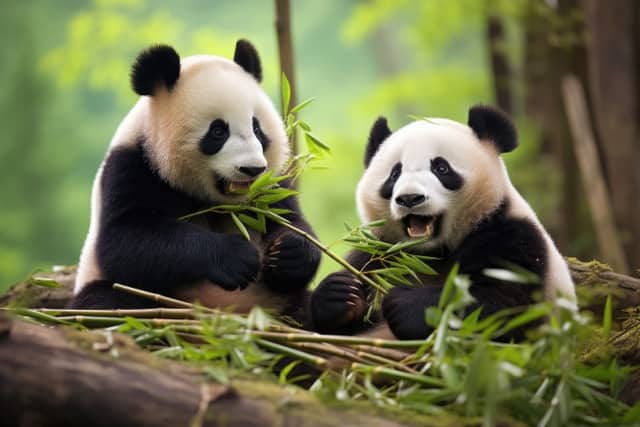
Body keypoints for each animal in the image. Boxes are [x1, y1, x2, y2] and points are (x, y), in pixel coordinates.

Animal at [71, 40, 321, 322]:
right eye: (218, 131)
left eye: (257, 129)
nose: (252, 169)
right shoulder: (133, 167)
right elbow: (125, 241)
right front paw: (235, 257)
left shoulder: (272, 184)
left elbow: (291, 220)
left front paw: (290, 252)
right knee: (106, 302)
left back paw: (336, 298)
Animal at [311, 105, 575, 340]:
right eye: (395, 174)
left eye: (441, 167)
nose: (409, 198)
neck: (430, 253)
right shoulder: (379, 253)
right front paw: (338, 294)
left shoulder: (513, 238)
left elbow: (501, 309)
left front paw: (407, 305)